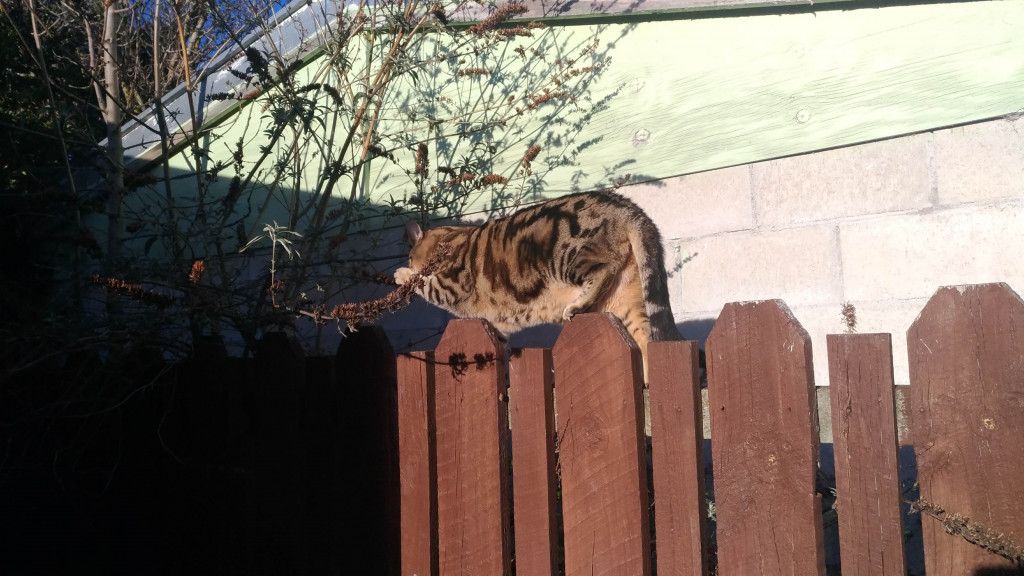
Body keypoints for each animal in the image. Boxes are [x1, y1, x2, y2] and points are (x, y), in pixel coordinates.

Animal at [394, 190, 682, 378]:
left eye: (408, 255)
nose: (406, 260)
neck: (450, 237)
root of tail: (626, 206)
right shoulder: (496, 328)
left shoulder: (452, 284)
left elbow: (424, 282)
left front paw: (402, 274)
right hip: (626, 300)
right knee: (647, 335)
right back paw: (648, 378)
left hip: (569, 257)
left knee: (603, 270)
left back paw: (576, 306)